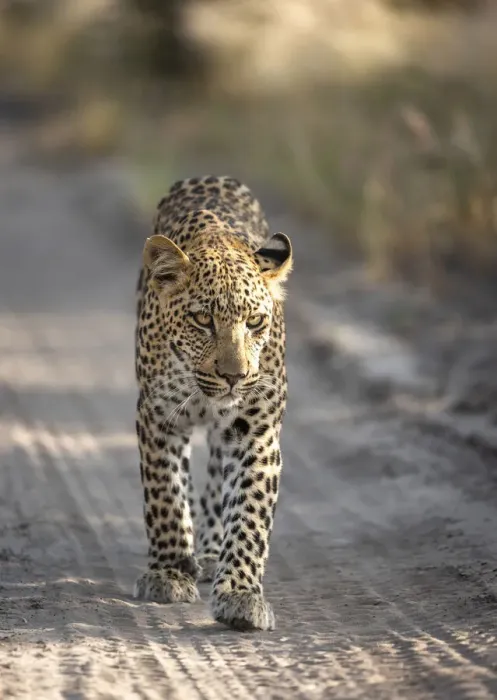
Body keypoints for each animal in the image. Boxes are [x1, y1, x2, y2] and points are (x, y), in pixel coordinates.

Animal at [132, 175, 292, 631]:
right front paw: (168, 573)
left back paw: (207, 550)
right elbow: (165, 495)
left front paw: (240, 594)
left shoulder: (256, 430)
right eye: (203, 320)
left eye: (255, 322)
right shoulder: (157, 416)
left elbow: (250, 512)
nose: (234, 375)